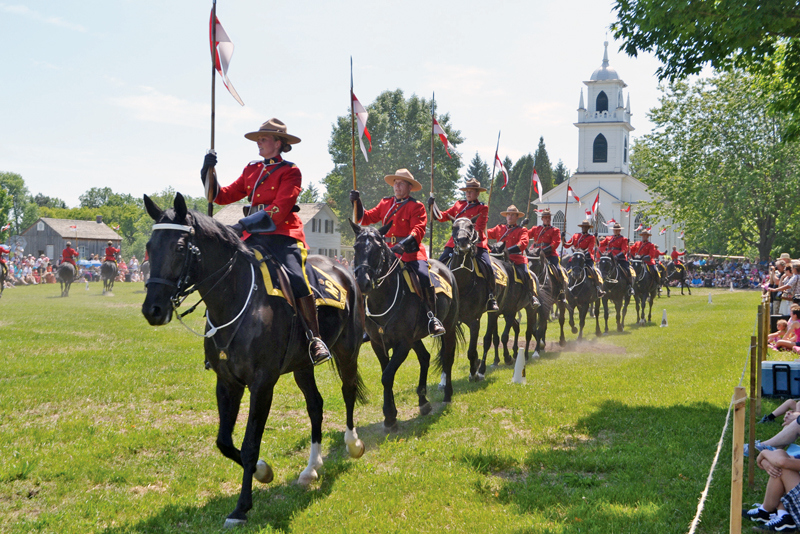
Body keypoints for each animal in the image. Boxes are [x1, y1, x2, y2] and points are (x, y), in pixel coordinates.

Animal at [142, 195, 368, 528]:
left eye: (180, 248)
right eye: (149, 246)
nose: (153, 310)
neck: (237, 300)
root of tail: (344, 270)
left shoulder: (262, 384)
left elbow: (249, 444)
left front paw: (241, 507)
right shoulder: (227, 383)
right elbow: (224, 442)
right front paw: (263, 471)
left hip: (347, 350)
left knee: (348, 390)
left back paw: (353, 444)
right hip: (302, 365)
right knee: (316, 405)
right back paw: (310, 468)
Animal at [352, 220, 460, 430]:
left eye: (378, 248)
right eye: (356, 247)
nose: (363, 282)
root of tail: (446, 270)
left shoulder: (402, 344)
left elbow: (387, 376)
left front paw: (389, 415)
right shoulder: (379, 343)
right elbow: (387, 374)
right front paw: (391, 414)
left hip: (448, 328)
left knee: (447, 359)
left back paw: (447, 395)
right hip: (416, 337)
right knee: (425, 358)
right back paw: (423, 401)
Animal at [482, 243, 536, 372]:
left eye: (500, 258)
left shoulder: (511, 312)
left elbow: (504, 336)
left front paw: (507, 358)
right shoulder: (494, 313)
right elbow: (495, 338)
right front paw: (496, 361)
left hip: (530, 310)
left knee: (528, 333)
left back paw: (525, 355)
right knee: (516, 327)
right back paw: (516, 352)